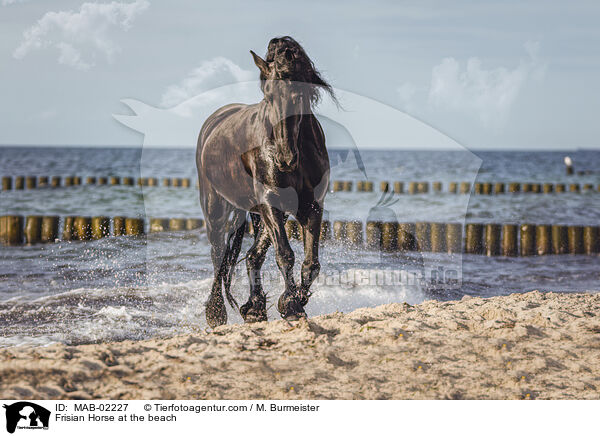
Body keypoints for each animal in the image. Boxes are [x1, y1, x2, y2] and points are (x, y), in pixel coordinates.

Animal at [198, 36, 336, 328]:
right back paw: (216, 313)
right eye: (268, 96)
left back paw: (254, 308)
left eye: (299, 95)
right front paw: (292, 305)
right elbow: (285, 255)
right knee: (218, 255)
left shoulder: (311, 206)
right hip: (215, 208)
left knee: (252, 256)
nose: (284, 158)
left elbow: (311, 264)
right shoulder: (271, 201)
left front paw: (290, 302)